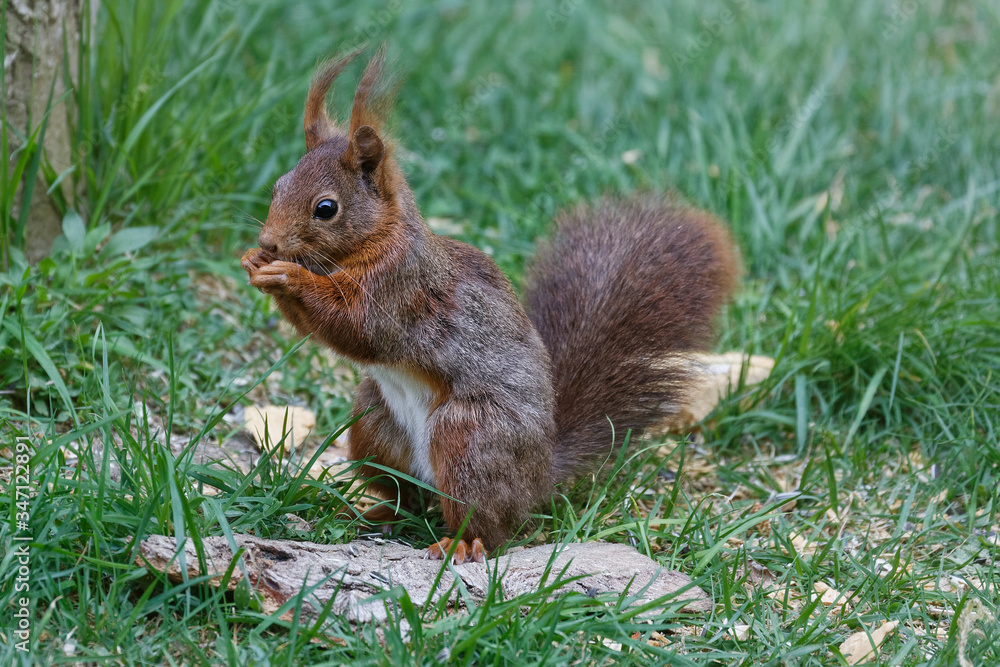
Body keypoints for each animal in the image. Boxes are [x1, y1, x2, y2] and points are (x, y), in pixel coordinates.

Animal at [241, 48, 740, 564]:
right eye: (278, 185)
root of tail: (537, 480)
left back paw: (461, 542)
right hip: (374, 425)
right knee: (411, 496)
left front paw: (288, 275)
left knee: (486, 521)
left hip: (469, 439)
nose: (269, 242)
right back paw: (374, 513)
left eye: (326, 208)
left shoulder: (399, 289)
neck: (377, 238)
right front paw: (255, 263)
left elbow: (358, 326)